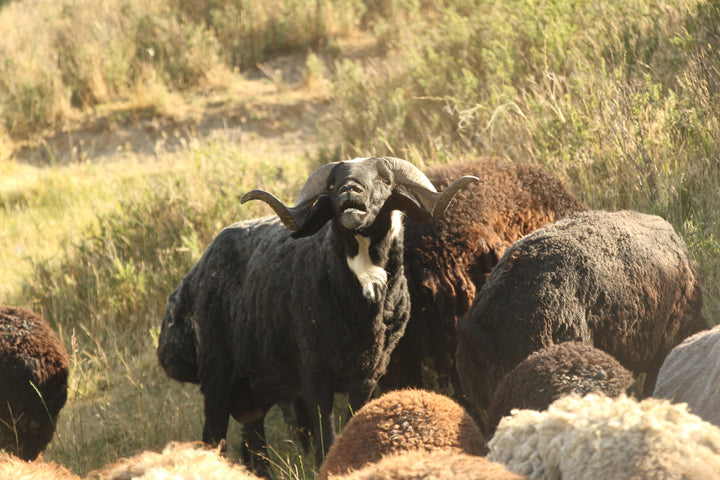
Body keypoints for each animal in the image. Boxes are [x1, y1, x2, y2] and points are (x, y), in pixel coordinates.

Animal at [156, 158, 478, 472]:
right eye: (333, 184)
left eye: (385, 180)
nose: (350, 191)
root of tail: (192, 277)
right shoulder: (315, 375)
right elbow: (326, 437)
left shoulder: (366, 378)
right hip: (217, 373)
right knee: (213, 435)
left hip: (252, 388)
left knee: (254, 444)